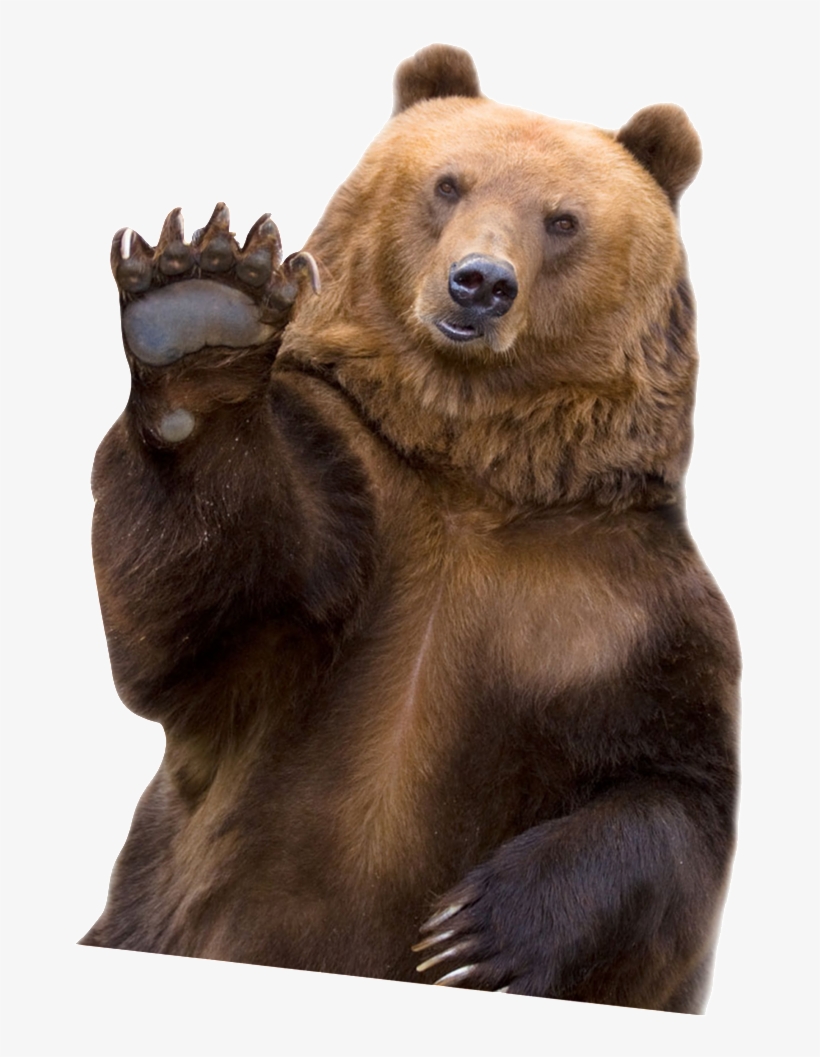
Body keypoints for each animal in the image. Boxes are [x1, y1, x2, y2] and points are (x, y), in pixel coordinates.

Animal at [81, 43, 739, 1014]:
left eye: (563, 219)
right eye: (448, 182)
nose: (482, 283)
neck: (473, 467)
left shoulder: (628, 606)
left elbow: (675, 791)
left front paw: (471, 935)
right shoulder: (345, 499)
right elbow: (195, 619)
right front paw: (200, 307)